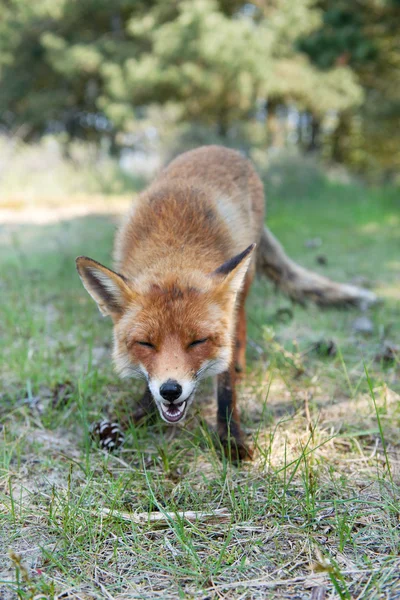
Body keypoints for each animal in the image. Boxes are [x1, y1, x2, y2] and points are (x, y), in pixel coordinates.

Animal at [76, 144, 376, 460]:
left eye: (198, 341)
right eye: (145, 343)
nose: (170, 391)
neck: (174, 244)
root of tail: (221, 148)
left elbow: (226, 388)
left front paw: (231, 437)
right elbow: (147, 386)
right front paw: (133, 419)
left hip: (246, 280)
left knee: (241, 326)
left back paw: (241, 366)